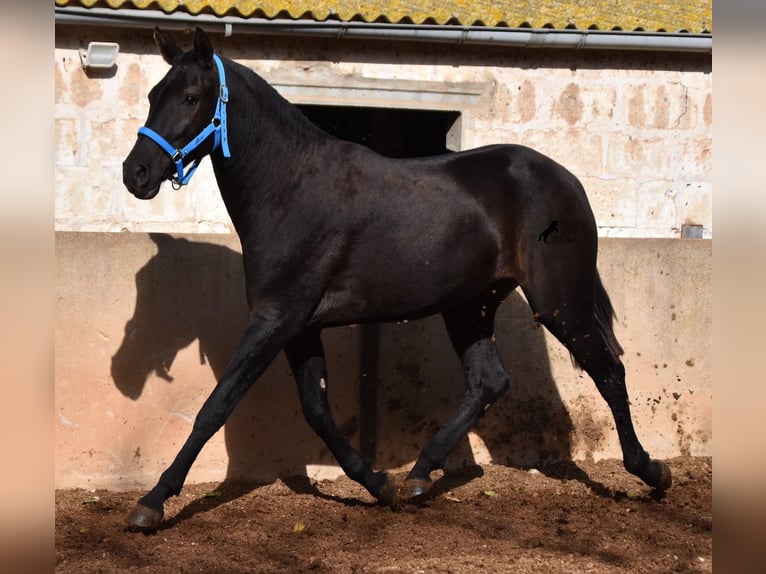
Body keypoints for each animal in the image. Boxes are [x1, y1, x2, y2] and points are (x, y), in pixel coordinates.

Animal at [121, 27, 672, 532]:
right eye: (152, 96)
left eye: (191, 97)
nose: (136, 173)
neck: (289, 189)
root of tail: (567, 180)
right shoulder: (299, 326)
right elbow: (316, 409)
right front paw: (378, 483)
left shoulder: (276, 319)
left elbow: (215, 407)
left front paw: (151, 503)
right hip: (469, 307)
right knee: (490, 380)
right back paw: (419, 477)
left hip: (560, 302)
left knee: (608, 371)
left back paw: (651, 472)